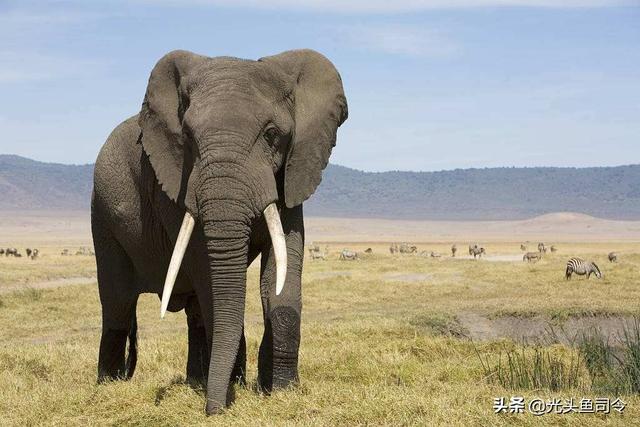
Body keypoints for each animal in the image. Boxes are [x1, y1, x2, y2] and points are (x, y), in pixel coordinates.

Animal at [92, 49, 348, 414]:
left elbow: (282, 272)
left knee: (194, 311)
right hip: (103, 216)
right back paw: (109, 386)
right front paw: (233, 392)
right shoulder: (177, 184)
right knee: (118, 303)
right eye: (187, 138)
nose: (213, 410)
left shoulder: (291, 174)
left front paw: (282, 391)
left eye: (271, 134)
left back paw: (197, 380)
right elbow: (207, 271)